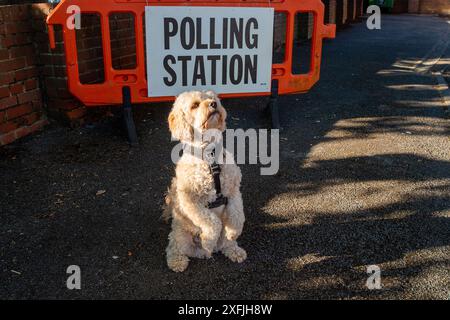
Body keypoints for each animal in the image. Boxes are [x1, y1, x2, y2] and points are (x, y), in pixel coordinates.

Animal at [163, 90, 246, 272]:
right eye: (194, 105)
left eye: (212, 98)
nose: (213, 104)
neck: (210, 157)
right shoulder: (190, 201)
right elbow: (212, 221)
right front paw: (208, 240)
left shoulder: (234, 191)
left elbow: (237, 215)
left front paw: (234, 232)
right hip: (181, 234)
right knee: (174, 246)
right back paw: (179, 259)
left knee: (224, 243)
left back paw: (233, 249)